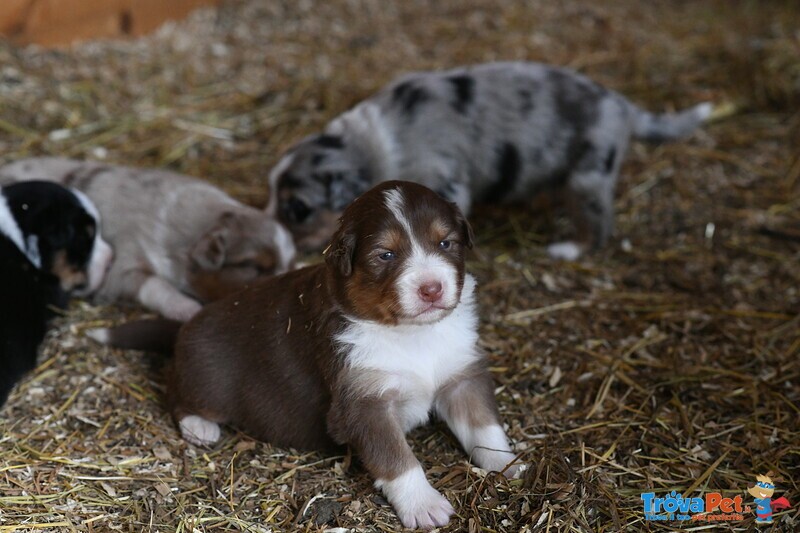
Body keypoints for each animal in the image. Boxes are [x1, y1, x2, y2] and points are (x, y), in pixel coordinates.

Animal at [168, 180, 516, 528]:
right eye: (386, 255)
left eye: (445, 243)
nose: (431, 289)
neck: (412, 334)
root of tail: (188, 325)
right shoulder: (363, 403)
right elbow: (396, 457)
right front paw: (424, 505)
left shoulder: (462, 376)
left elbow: (484, 426)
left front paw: (507, 463)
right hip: (208, 381)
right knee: (181, 399)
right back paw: (200, 427)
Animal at [268, 60, 712, 258]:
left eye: (298, 209)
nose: (274, 234)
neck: (369, 146)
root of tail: (622, 106)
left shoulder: (444, 182)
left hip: (589, 177)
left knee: (599, 226)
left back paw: (569, 249)